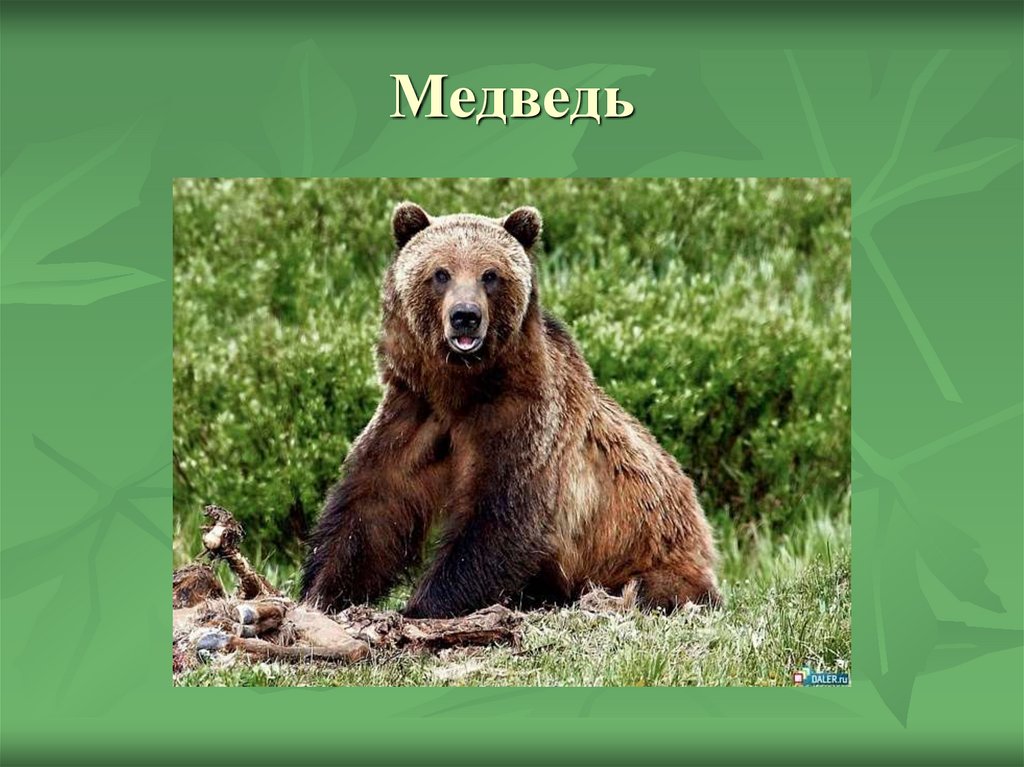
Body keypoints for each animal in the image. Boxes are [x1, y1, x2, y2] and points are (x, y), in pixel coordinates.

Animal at [300, 202, 721, 618]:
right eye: (440, 273)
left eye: (490, 274)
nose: (465, 316)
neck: (461, 388)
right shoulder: (415, 412)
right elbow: (373, 506)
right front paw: (322, 591)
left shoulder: (521, 422)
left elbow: (500, 517)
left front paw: (420, 606)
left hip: (660, 553)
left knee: (656, 587)